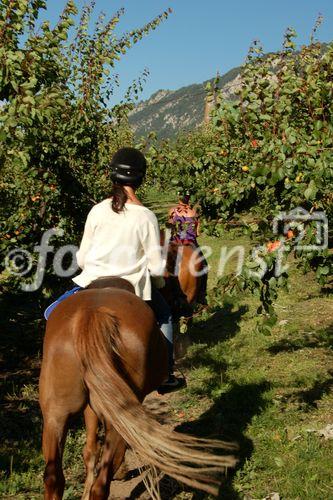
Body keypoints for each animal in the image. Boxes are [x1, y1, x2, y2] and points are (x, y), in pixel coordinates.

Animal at [39, 278, 235, 500]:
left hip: (55, 415)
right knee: (102, 483)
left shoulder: (92, 406)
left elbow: (90, 450)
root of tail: (90, 316)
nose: (188, 305)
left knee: (54, 478)